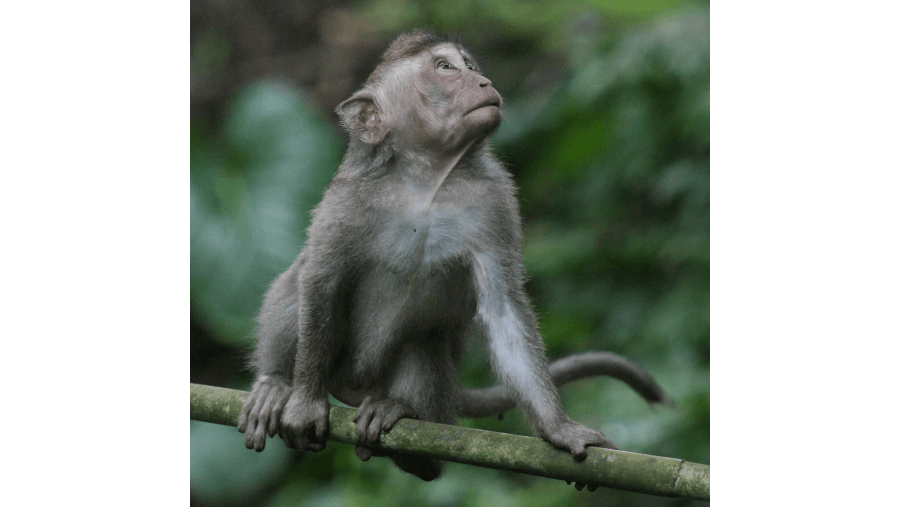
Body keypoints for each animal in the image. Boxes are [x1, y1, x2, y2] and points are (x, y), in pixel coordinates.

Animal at [239, 29, 668, 490]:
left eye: (471, 66)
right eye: (445, 68)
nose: (484, 82)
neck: (426, 182)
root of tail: (354, 387)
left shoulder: (494, 199)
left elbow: (503, 309)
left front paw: (559, 429)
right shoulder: (346, 200)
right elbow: (321, 281)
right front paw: (304, 402)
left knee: (423, 343)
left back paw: (405, 425)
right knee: (296, 281)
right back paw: (276, 383)